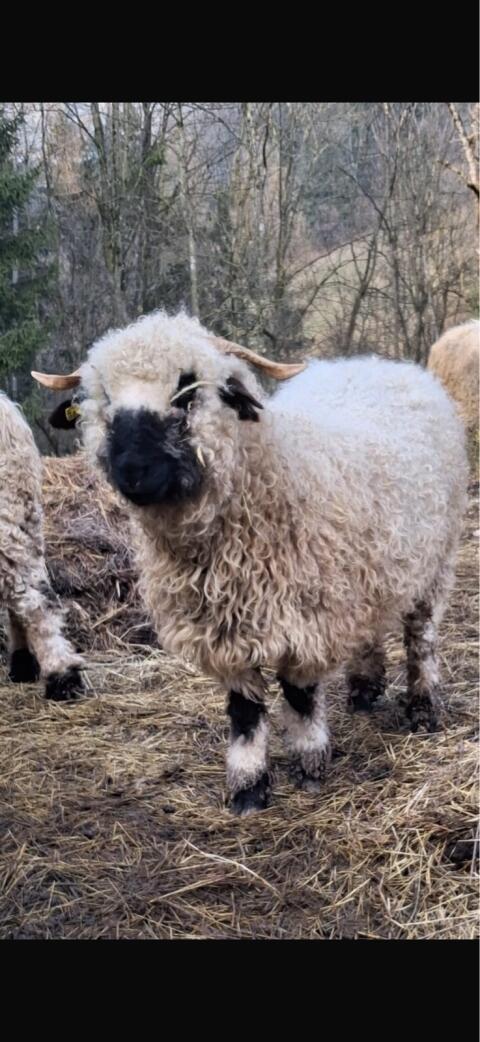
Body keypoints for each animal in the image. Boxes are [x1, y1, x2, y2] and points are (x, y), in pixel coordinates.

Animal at [32, 311, 468, 813]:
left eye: (188, 388)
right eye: (102, 396)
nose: (134, 472)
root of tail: (375, 363)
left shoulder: (306, 617)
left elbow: (300, 696)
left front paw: (310, 764)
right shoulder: (225, 630)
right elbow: (244, 711)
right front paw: (248, 787)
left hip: (435, 560)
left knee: (422, 638)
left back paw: (423, 706)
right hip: (369, 572)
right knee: (370, 630)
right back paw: (363, 689)